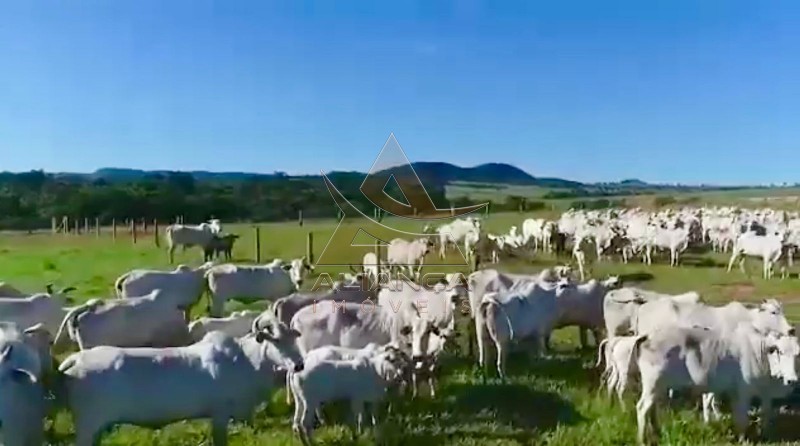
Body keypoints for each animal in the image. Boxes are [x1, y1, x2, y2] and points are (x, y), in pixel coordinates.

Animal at [57, 324, 304, 446]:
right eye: (276, 341)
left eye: (294, 339)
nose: (299, 364)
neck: (245, 360)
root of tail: (76, 358)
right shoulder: (220, 413)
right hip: (88, 424)